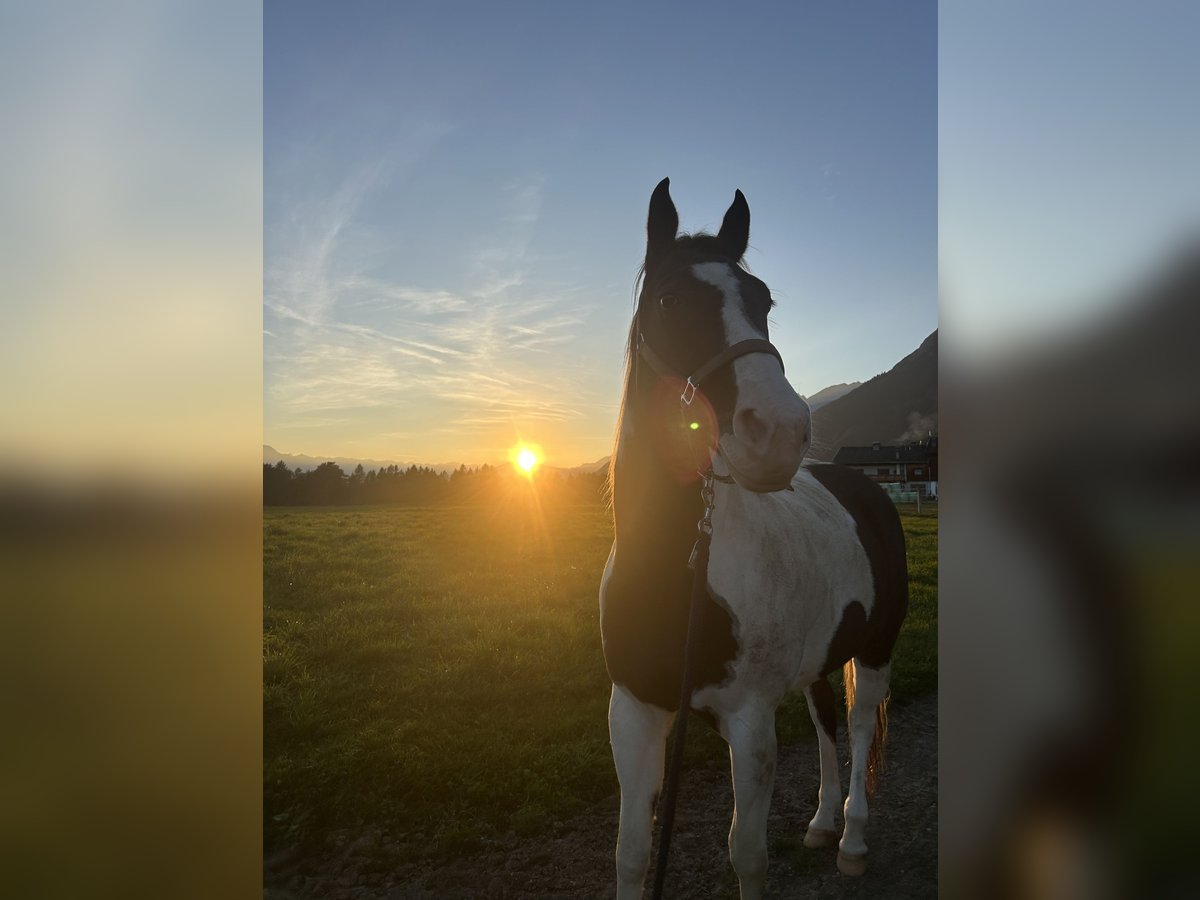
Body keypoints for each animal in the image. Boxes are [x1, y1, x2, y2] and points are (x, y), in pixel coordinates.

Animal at [599, 178, 908, 899]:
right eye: (669, 300)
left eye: (764, 301)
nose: (779, 432)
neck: (675, 570)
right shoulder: (633, 711)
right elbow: (631, 853)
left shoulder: (750, 722)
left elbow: (747, 854)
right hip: (824, 655)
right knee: (826, 723)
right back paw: (822, 824)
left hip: (876, 648)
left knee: (858, 726)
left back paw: (851, 838)